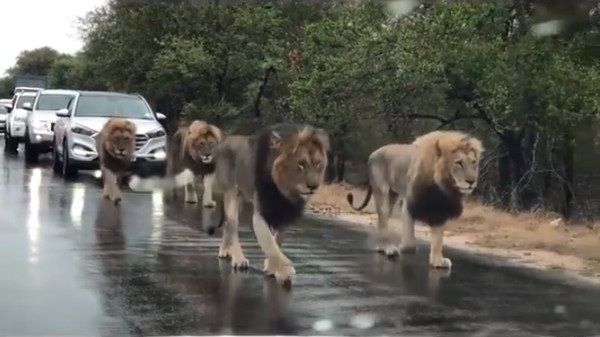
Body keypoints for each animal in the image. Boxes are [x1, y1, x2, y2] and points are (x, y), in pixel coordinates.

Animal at [346, 130, 482, 270]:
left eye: (473, 162)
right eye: (459, 163)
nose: (471, 181)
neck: (440, 185)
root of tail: (374, 152)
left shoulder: (440, 211)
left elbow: (438, 240)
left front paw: (437, 261)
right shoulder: (408, 203)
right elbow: (410, 245)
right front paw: (401, 247)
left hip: (392, 195)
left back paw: (381, 246)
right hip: (381, 191)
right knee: (383, 218)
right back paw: (388, 248)